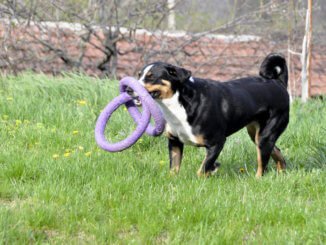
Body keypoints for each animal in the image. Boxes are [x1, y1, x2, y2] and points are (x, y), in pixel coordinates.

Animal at [134, 53, 290, 176]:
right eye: (139, 75)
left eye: (151, 77)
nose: (130, 89)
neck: (180, 105)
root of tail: (278, 83)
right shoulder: (174, 142)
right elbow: (174, 168)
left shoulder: (217, 143)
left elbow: (203, 169)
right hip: (256, 135)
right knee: (277, 152)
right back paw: (282, 172)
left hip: (265, 135)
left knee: (262, 164)